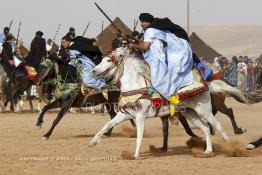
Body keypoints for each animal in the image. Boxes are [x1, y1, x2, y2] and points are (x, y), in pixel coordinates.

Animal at [89, 47, 248, 159]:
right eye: (102, 59)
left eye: (109, 61)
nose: (93, 71)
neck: (136, 85)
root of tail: (206, 85)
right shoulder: (126, 114)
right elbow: (107, 125)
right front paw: (93, 141)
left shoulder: (140, 116)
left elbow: (139, 136)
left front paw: (135, 155)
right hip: (190, 113)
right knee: (206, 128)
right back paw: (208, 151)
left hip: (205, 110)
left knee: (218, 125)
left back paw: (232, 147)